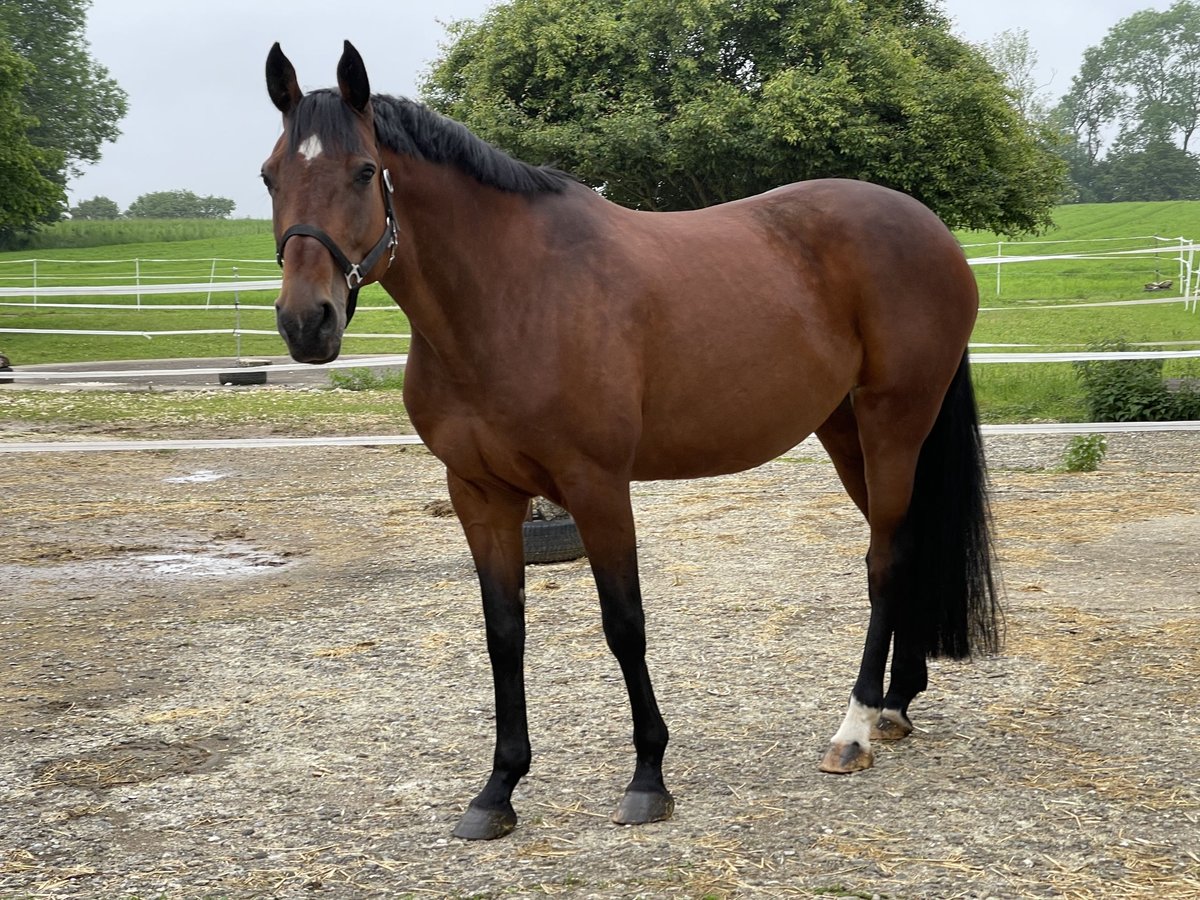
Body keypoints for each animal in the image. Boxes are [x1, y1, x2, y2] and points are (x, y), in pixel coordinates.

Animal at [262, 40, 1003, 844]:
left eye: (364, 171)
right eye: (270, 175)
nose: (306, 323)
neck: (511, 295)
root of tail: (932, 230)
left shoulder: (596, 486)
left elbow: (624, 624)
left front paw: (649, 776)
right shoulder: (479, 493)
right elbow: (503, 633)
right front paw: (498, 790)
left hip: (894, 422)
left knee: (885, 559)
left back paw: (856, 728)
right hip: (845, 431)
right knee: (905, 547)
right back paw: (897, 705)